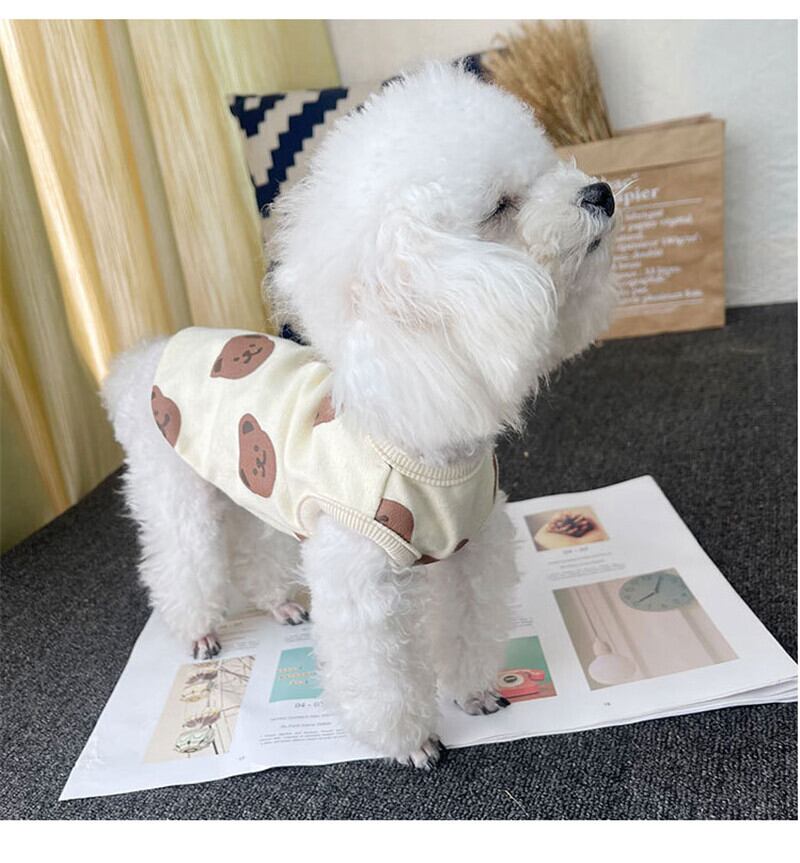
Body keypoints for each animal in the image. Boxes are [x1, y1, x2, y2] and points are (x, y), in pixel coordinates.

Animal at [102, 63, 617, 769]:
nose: (601, 191)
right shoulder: (360, 581)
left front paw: (474, 694)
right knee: (180, 560)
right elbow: (379, 672)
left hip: (247, 487)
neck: (422, 442)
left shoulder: (472, 551)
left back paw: (279, 605)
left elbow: (468, 625)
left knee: (256, 548)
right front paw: (411, 742)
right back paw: (200, 631)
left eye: (543, 171)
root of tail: (148, 358)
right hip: (175, 491)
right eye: (500, 207)